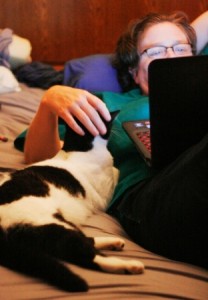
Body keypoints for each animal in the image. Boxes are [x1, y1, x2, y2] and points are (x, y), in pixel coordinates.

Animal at [0, 118, 144, 292]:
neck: (78, 148)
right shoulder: (106, 195)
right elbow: (117, 171)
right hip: (47, 223)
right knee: (81, 251)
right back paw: (130, 265)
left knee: (81, 241)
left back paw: (114, 243)